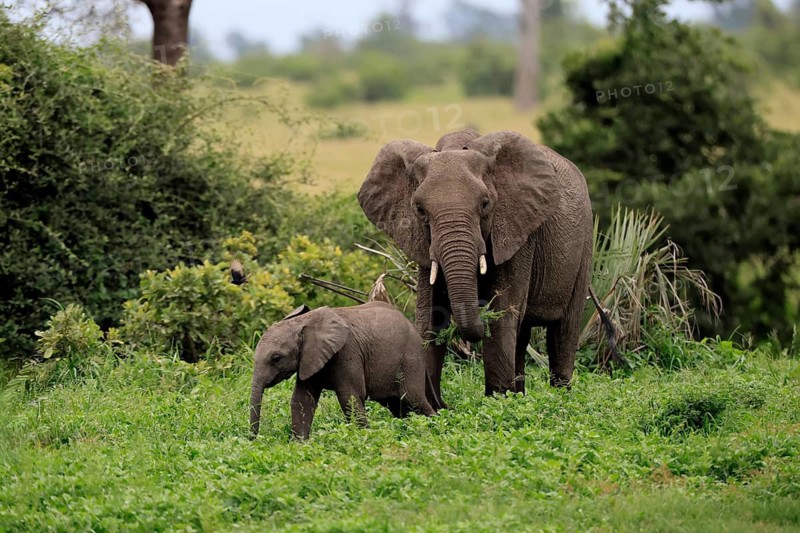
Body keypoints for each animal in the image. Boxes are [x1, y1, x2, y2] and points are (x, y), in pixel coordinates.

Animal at [249, 302, 437, 440]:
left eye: (276, 358)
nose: (254, 440)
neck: (304, 321)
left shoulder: (348, 352)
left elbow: (350, 397)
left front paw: (363, 438)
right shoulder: (309, 358)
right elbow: (302, 400)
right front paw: (299, 444)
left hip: (410, 359)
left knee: (413, 399)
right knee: (398, 405)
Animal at [359, 129, 612, 402]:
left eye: (485, 204)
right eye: (420, 209)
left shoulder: (518, 230)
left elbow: (502, 312)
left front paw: (497, 402)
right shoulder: (422, 243)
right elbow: (430, 315)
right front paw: (432, 404)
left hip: (584, 244)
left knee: (563, 331)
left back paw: (560, 398)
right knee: (522, 333)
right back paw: (519, 395)